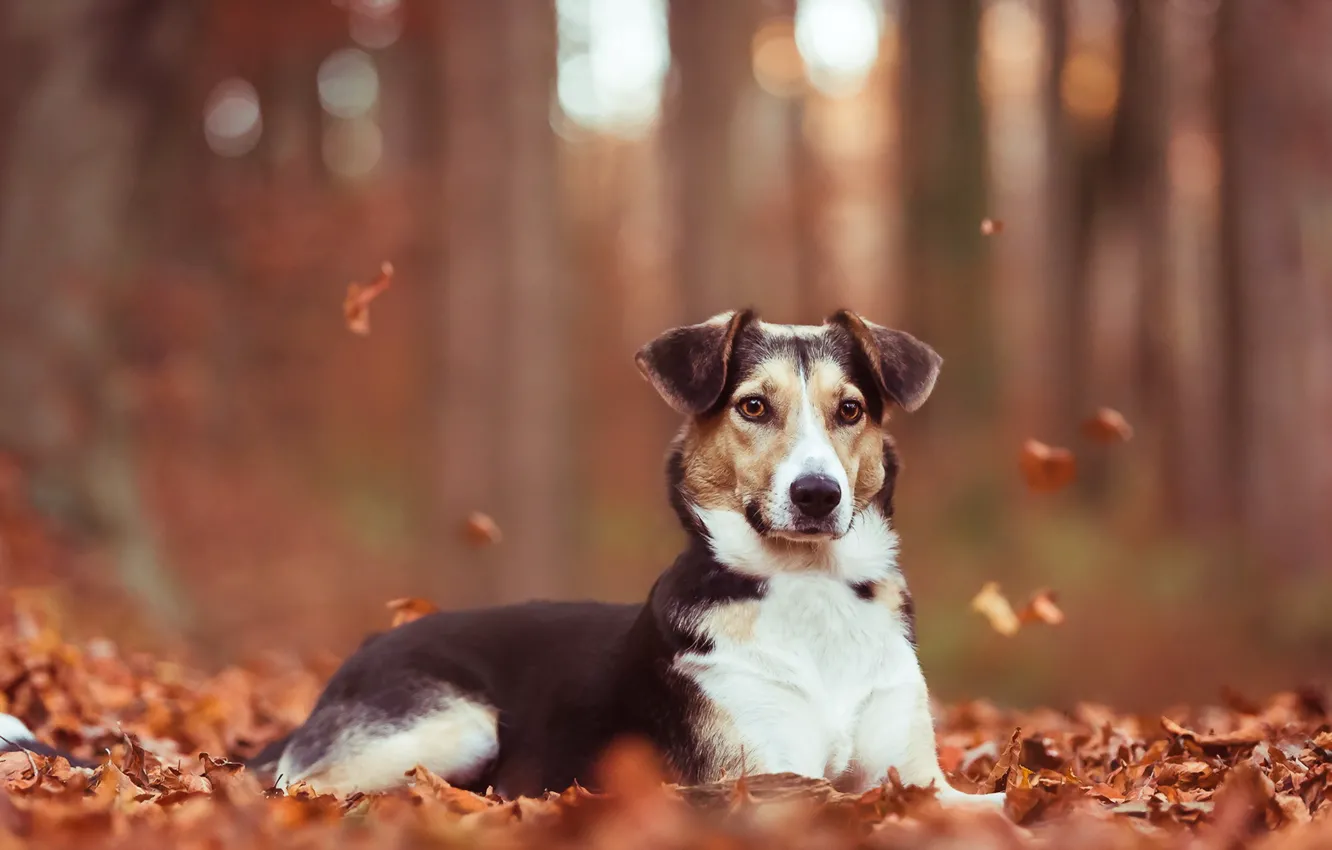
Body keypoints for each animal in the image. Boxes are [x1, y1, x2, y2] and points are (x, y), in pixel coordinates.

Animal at [0, 309, 1001, 810]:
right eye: (754, 406)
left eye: (849, 411)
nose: (818, 495)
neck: (806, 589)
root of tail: (351, 662)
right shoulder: (751, 779)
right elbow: (838, 798)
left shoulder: (918, 773)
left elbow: (961, 800)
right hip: (451, 723)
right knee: (301, 786)